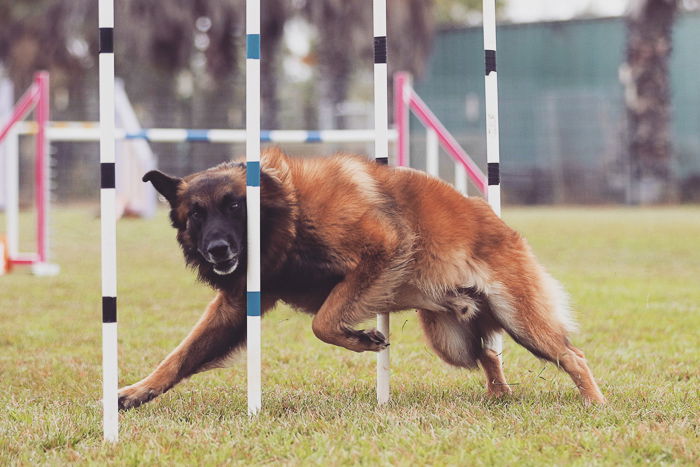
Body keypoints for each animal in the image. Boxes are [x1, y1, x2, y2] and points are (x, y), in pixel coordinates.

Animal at [117, 149, 604, 410]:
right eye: (196, 214)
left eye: (235, 206)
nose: (216, 250)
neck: (290, 212)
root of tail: (501, 226)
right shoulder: (238, 305)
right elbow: (180, 356)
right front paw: (138, 392)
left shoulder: (381, 251)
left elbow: (324, 320)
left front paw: (361, 339)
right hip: (450, 340)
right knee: (486, 352)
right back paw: (500, 393)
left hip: (519, 317)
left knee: (571, 355)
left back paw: (594, 402)